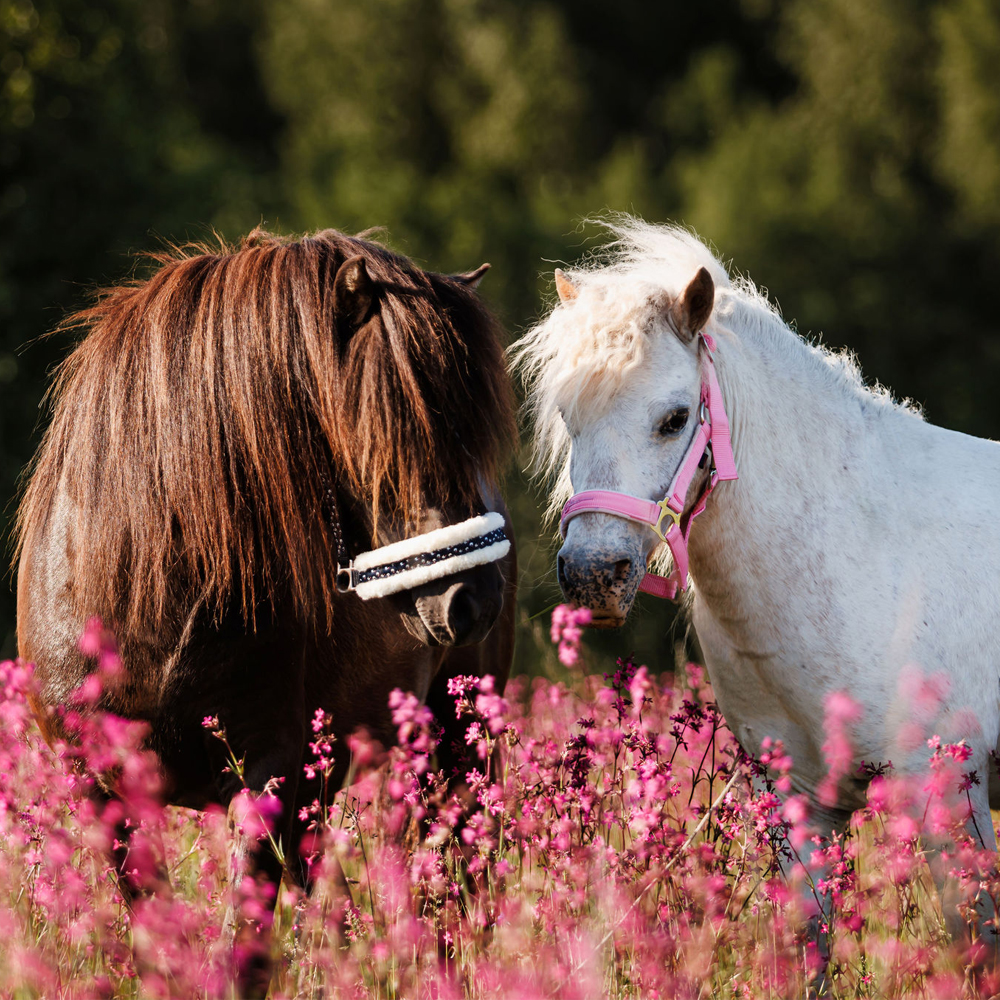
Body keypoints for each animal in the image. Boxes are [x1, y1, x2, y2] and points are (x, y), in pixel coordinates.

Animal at [13, 225, 516, 968]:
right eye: (385, 425)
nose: (472, 600)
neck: (151, 605)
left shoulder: (269, 777)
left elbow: (239, 947)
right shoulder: (107, 795)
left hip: (456, 745)